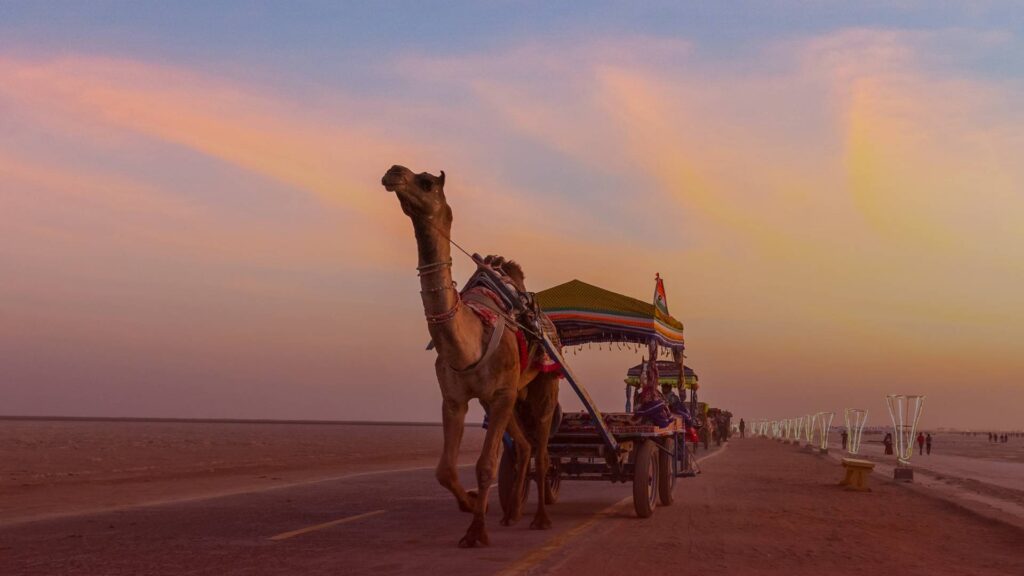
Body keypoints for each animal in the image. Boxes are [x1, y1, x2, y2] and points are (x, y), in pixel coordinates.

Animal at [381, 165, 560, 547]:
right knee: (523, 446)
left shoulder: (501, 392)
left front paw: (476, 532)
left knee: (540, 449)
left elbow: (485, 465)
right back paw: (512, 512)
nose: (393, 172)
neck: (470, 342)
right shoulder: (456, 398)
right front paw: (472, 504)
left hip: (544, 384)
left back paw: (540, 518)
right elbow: (445, 470)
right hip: (507, 398)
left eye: (426, 182)